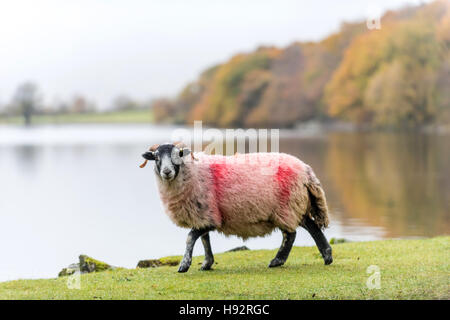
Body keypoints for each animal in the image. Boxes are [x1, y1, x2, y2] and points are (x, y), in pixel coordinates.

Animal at [141, 142, 334, 272]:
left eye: (178, 155)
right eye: (156, 157)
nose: (167, 172)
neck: (192, 172)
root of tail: (306, 170)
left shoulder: (209, 215)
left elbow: (191, 237)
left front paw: (184, 265)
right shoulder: (204, 214)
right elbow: (204, 239)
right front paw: (207, 263)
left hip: (285, 207)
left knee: (290, 235)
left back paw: (277, 261)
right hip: (296, 205)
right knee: (312, 227)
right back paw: (327, 256)